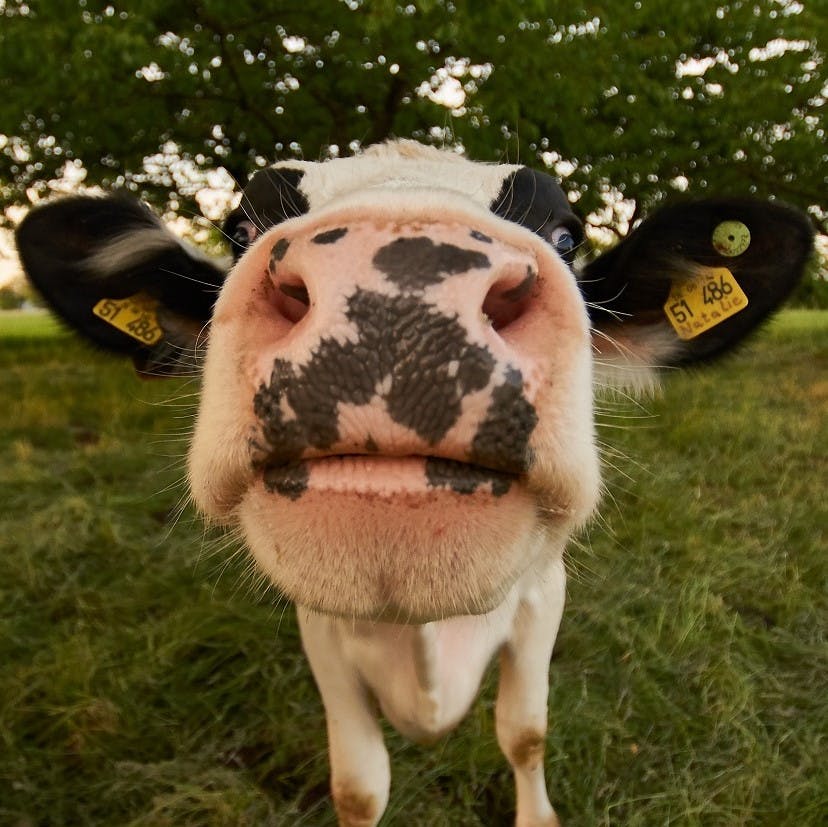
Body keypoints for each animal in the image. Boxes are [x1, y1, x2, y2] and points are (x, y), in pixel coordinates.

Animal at [14, 139, 816, 824]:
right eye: (240, 227)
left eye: (566, 235)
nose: (394, 288)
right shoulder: (321, 628)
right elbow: (359, 785)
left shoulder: (543, 593)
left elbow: (525, 733)